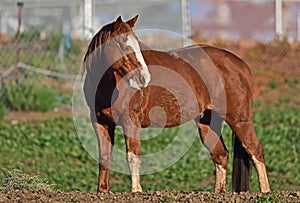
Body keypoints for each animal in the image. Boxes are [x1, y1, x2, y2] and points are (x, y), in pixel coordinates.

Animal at [81, 15, 270, 193]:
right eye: (124, 45)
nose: (144, 78)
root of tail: (240, 64)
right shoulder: (101, 123)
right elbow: (104, 157)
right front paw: (102, 191)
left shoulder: (130, 121)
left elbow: (132, 155)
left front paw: (136, 190)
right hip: (208, 122)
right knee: (221, 155)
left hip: (239, 120)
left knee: (255, 150)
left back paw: (265, 192)